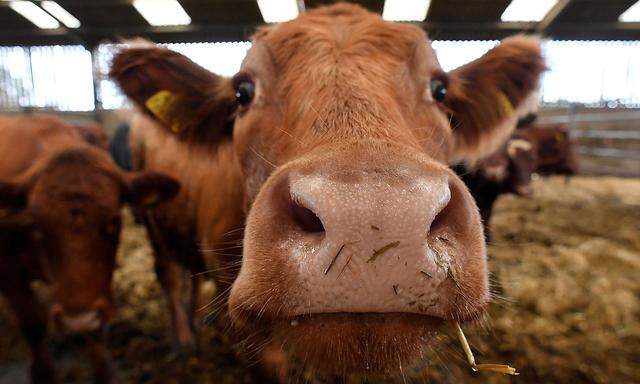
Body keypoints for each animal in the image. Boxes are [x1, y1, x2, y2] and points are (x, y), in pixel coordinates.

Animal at [0, 115, 180, 384]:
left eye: (113, 221)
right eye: (37, 224)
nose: (77, 322)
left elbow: (95, 334)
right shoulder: (8, 271)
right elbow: (32, 323)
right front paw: (43, 373)